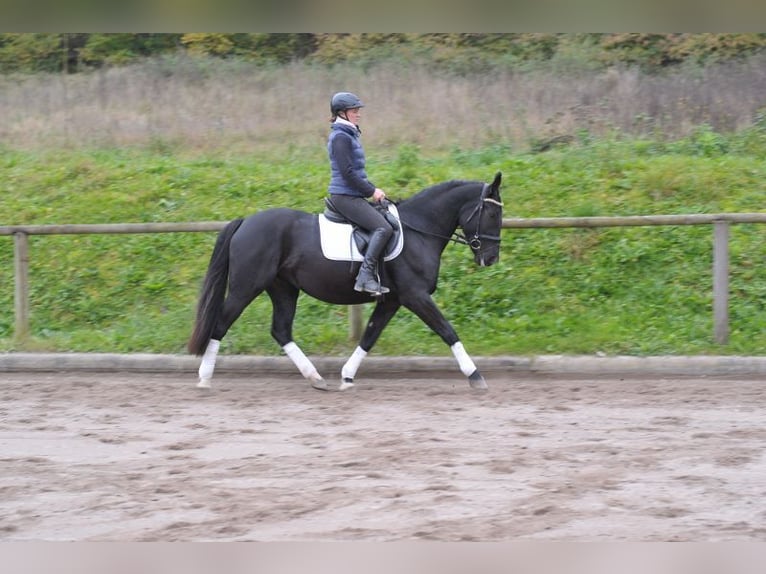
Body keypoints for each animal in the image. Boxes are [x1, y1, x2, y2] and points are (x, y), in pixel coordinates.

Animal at [188, 173, 504, 394]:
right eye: (491, 213)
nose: (490, 258)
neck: (420, 230)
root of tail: (246, 221)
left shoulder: (392, 300)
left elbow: (369, 336)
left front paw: (347, 377)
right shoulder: (415, 296)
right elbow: (448, 331)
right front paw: (475, 376)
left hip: (283, 289)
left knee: (281, 330)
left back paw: (316, 378)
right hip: (246, 287)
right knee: (221, 324)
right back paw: (204, 378)